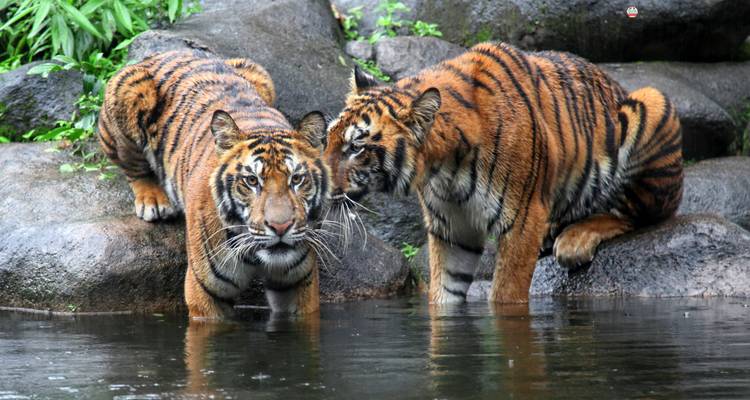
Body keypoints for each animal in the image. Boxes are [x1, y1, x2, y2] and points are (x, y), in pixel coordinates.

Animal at [98, 51, 331, 318]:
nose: (280, 227)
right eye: (252, 181)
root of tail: (164, 53)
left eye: (297, 179)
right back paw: (153, 201)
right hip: (127, 89)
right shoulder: (205, 291)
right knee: (132, 166)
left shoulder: (299, 283)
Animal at [323, 42, 682, 304]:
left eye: (355, 147)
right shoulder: (451, 229)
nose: (319, 186)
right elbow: (443, 294)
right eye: (328, 138)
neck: (444, 168)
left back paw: (575, 240)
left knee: (642, 214)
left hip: (652, 101)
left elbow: (506, 295)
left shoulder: (522, 219)